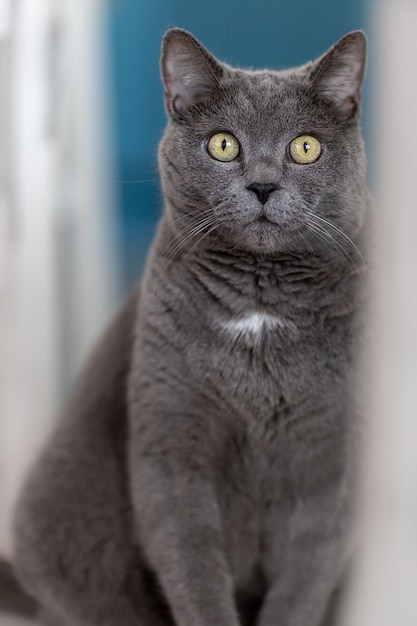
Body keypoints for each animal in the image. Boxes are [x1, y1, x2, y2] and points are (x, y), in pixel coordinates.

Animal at [13, 26, 370, 624]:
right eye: (224, 144)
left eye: (305, 147)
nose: (263, 186)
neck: (261, 305)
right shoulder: (171, 446)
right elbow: (193, 569)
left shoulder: (334, 462)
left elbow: (304, 582)